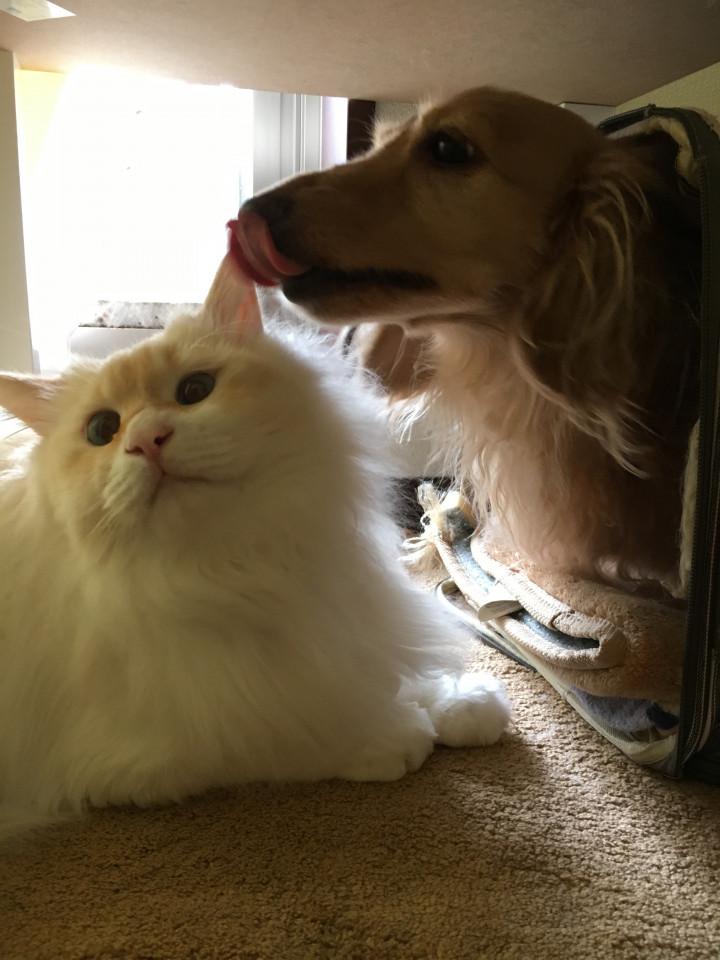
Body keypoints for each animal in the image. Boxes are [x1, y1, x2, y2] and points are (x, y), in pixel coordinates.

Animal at [0, 254, 510, 838]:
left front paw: (460, 700)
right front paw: (387, 735)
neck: (237, 564)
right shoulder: (142, 752)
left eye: (195, 389)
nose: (147, 440)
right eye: (102, 429)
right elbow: (280, 733)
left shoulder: (332, 619)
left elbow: (381, 664)